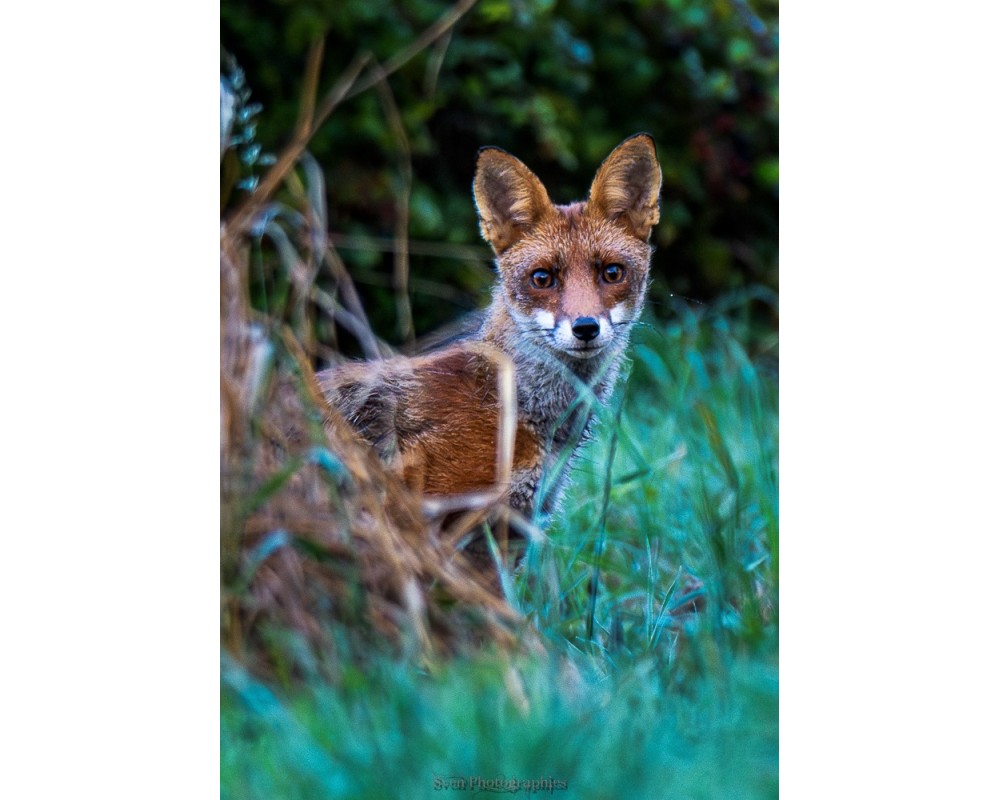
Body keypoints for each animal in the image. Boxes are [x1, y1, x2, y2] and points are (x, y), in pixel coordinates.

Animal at [317, 133, 661, 566]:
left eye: (612, 273)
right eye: (542, 278)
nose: (585, 328)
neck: (511, 403)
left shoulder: (510, 531)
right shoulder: (437, 518)